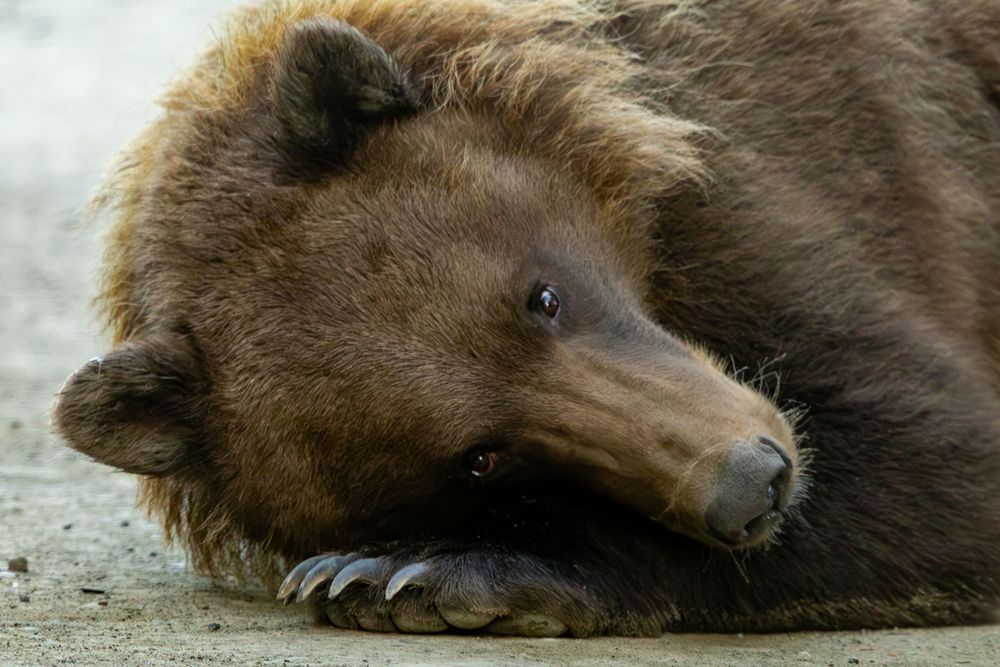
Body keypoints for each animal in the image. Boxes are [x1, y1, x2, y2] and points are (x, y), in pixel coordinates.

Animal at [53, 0, 1000, 637]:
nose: (752, 481)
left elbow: (936, 462)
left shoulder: (805, 169)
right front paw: (375, 571)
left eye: (542, 295)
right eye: (479, 456)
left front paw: (409, 572)